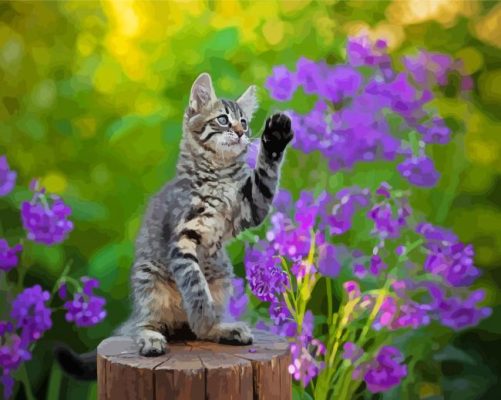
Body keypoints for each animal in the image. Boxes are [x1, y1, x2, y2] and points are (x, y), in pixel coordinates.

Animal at [55, 72, 292, 378]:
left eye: (244, 121)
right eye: (223, 119)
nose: (241, 133)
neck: (219, 176)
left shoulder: (250, 207)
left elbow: (266, 177)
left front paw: (275, 139)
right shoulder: (182, 239)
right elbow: (195, 284)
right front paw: (202, 315)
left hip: (221, 275)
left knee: (197, 331)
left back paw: (222, 329)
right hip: (149, 284)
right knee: (143, 325)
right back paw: (154, 339)